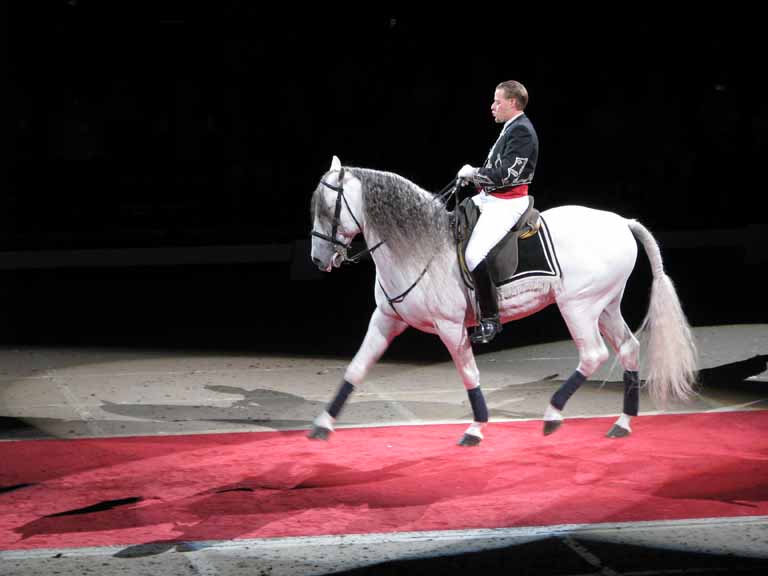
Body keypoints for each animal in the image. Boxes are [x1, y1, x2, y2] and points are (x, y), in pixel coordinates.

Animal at [306, 155, 696, 444]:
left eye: (327, 208)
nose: (318, 260)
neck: (419, 246)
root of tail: (622, 222)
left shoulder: (450, 327)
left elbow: (469, 373)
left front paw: (476, 428)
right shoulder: (386, 318)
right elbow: (357, 367)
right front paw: (323, 423)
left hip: (579, 306)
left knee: (593, 354)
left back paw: (553, 414)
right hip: (605, 306)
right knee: (628, 348)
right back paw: (622, 423)